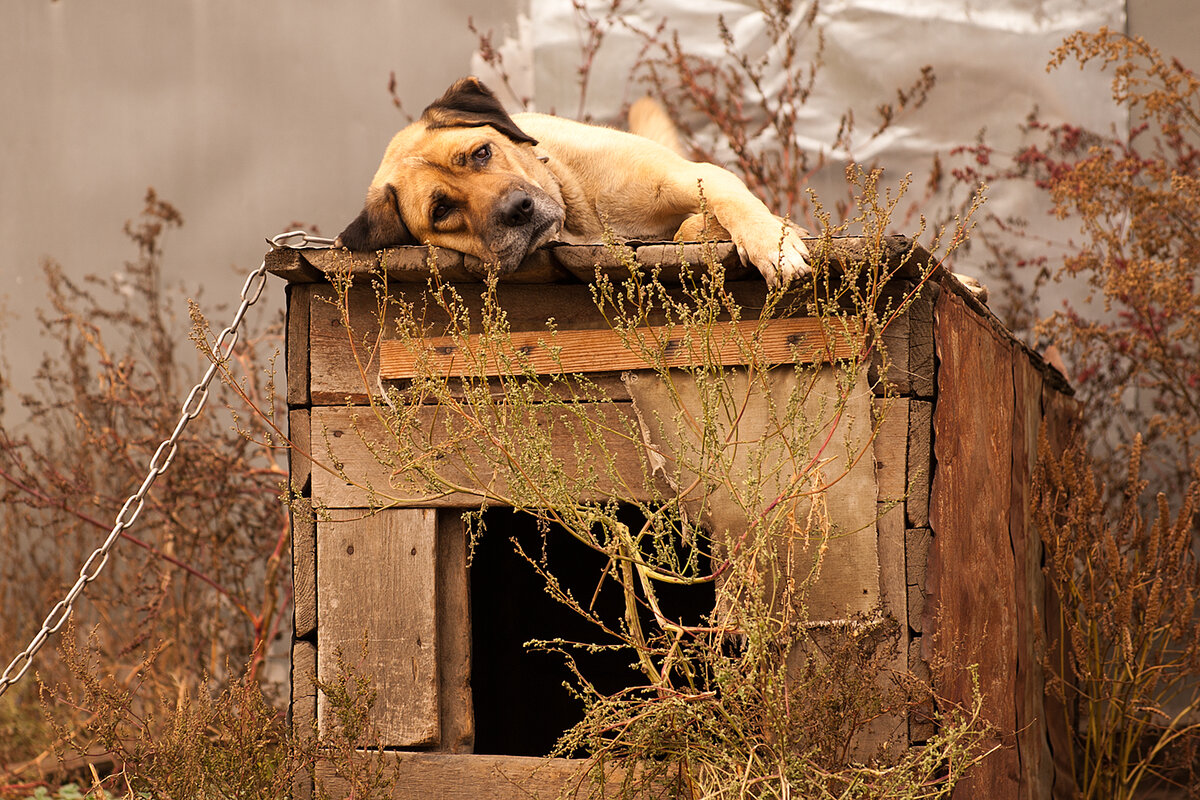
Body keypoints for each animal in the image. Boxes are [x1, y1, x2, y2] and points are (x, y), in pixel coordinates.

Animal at [333, 75, 811, 287]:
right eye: (442, 210)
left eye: (481, 153)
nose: (519, 210)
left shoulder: (691, 176)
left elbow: (735, 206)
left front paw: (774, 244)